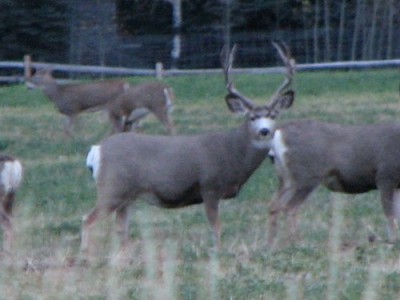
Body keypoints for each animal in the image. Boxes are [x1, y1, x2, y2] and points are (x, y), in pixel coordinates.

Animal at [79, 41, 296, 253]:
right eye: (252, 117)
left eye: (273, 116)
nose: (264, 131)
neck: (232, 153)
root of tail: (96, 150)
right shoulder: (209, 187)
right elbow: (216, 227)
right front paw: (217, 253)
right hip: (112, 188)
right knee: (87, 219)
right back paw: (85, 255)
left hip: (127, 195)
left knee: (119, 226)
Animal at [268, 109, 400, 245]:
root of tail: (278, 134)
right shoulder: (385, 177)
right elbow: (391, 216)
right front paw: (392, 242)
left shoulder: (397, 185)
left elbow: (396, 215)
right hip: (307, 177)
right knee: (290, 208)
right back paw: (298, 243)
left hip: (287, 179)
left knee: (274, 206)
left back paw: (271, 244)